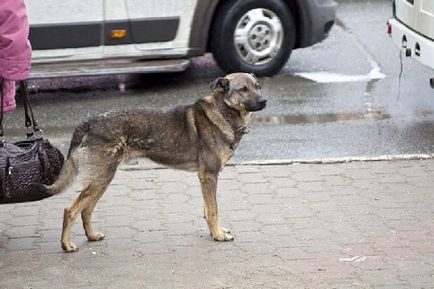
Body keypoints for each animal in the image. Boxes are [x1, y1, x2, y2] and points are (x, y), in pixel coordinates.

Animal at [37, 72, 266, 252]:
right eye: (243, 89)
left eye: (258, 86)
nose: (264, 101)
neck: (222, 112)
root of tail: (91, 121)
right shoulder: (209, 176)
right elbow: (213, 210)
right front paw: (218, 235)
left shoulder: (205, 178)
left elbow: (206, 209)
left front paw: (214, 232)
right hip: (100, 180)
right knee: (71, 210)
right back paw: (66, 245)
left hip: (101, 181)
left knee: (85, 210)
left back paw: (92, 236)